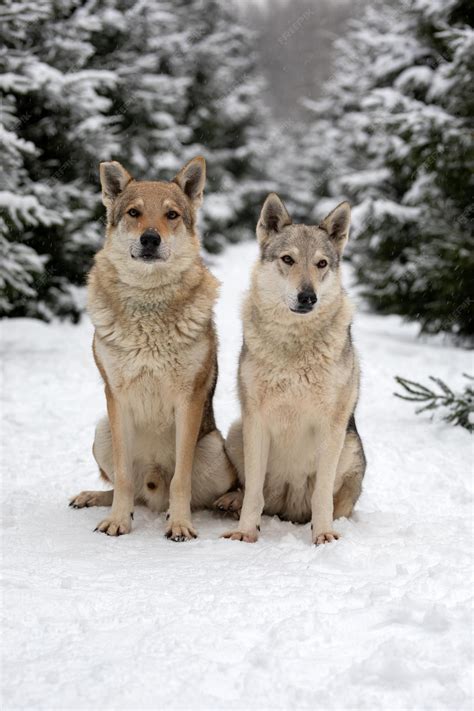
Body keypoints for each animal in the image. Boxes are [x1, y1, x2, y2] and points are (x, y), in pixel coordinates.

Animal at [70, 156, 236, 539]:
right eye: (134, 213)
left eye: (171, 215)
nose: (150, 238)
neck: (148, 307)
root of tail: (153, 493)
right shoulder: (116, 397)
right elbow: (123, 479)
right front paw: (117, 521)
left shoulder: (188, 399)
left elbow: (180, 480)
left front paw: (180, 525)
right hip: (101, 430)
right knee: (129, 489)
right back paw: (93, 498)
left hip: (214, 448)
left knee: (225, 488)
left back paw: (226, 503)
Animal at [217, 193, 366, 545]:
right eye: (288, 259)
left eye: (321, 264)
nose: (308, 297)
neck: (294, 348)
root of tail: (287, 506)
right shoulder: (256, 421)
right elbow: (253, 493)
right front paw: (245, 533)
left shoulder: (331, 425)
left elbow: (323, 496)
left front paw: (323, 535)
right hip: (238, 430)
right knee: (249, 490)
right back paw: (230, 501)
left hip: (350, 445)